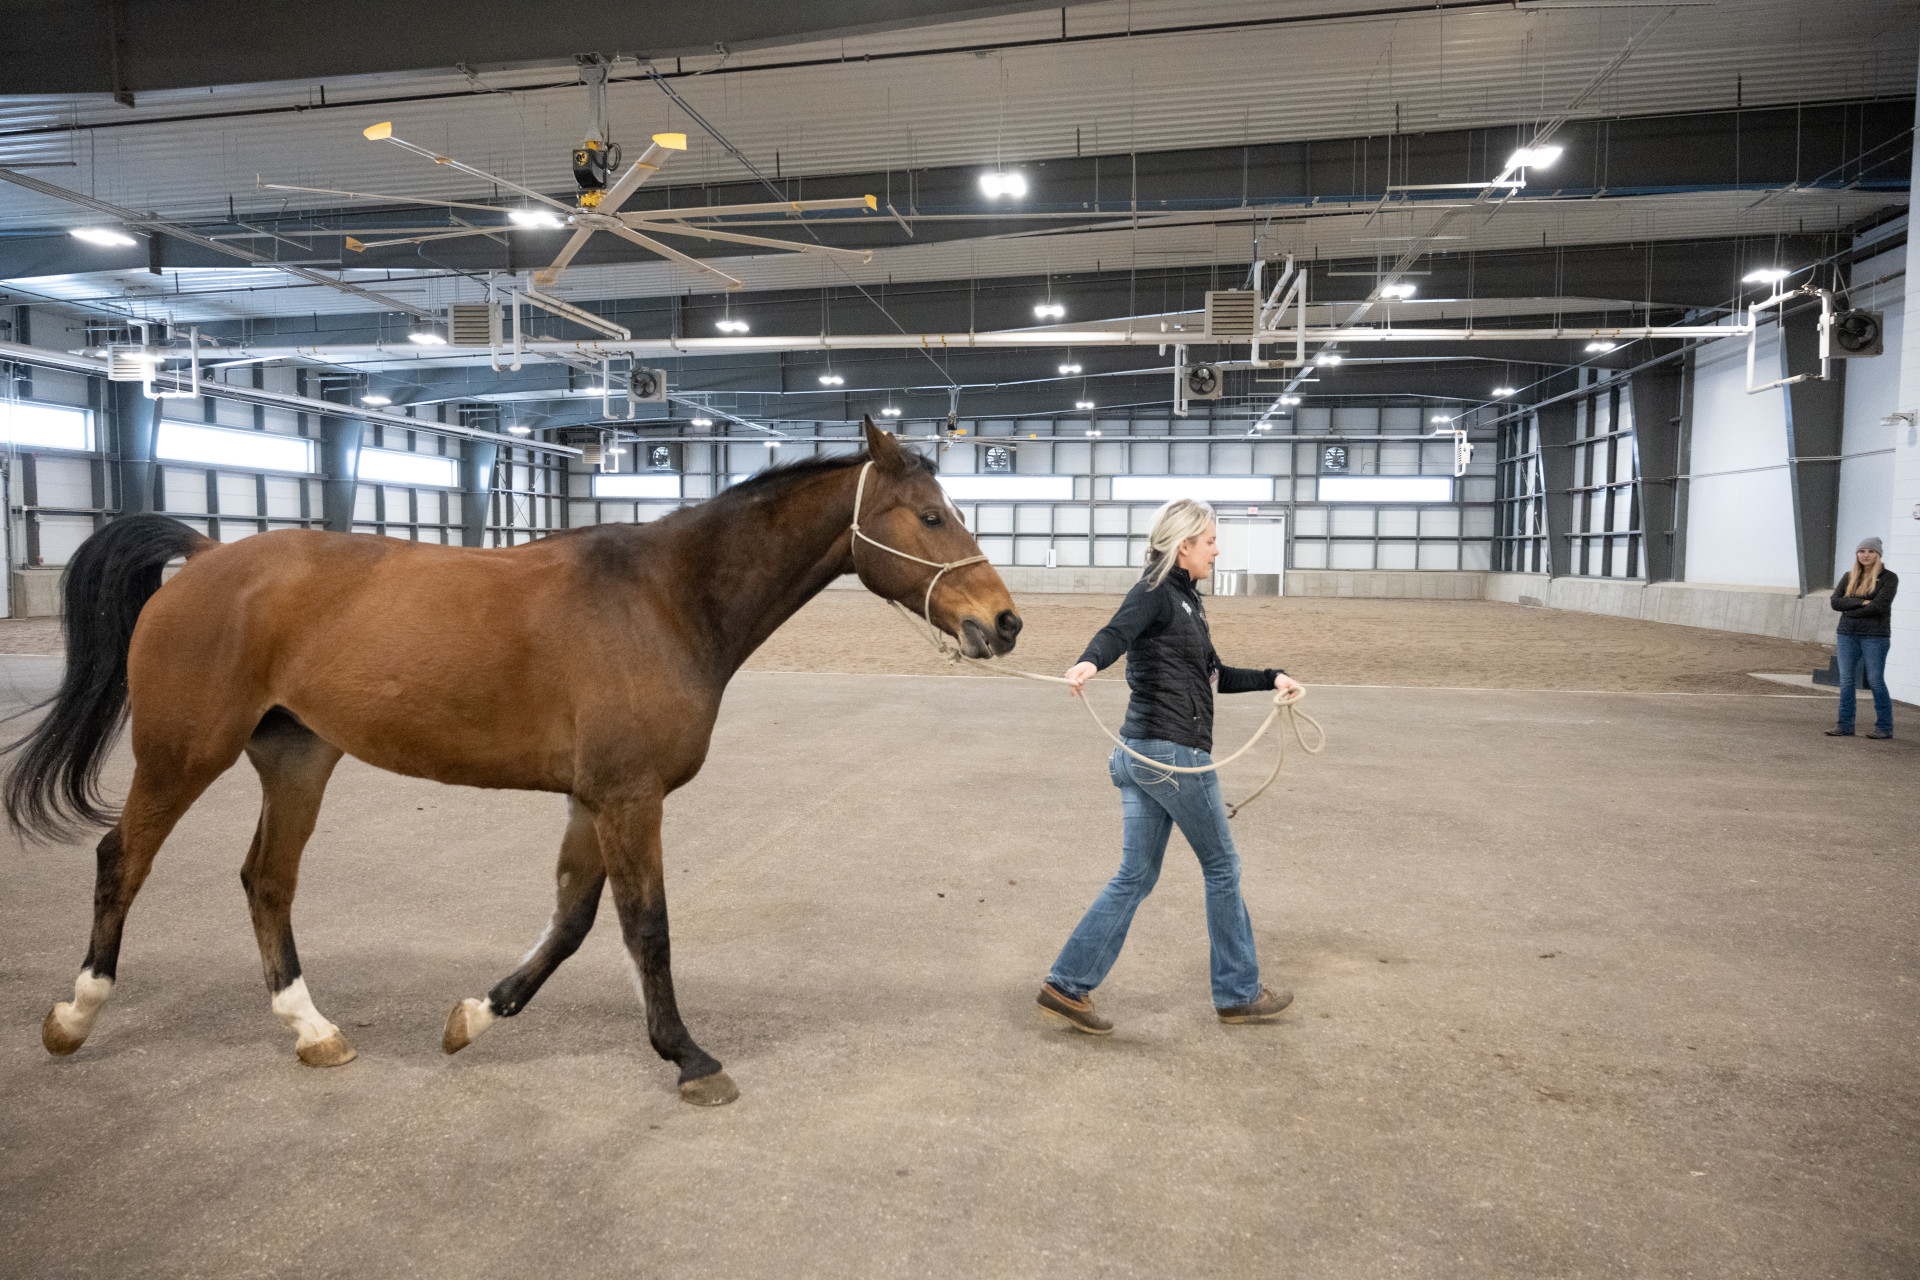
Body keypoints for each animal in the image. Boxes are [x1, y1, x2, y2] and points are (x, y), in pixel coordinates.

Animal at [7, 426, 1021, 1105]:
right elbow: (646, 929)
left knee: (267, 880)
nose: (1003, 622)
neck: (662, 599)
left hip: (297, 759)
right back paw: (75, 1015)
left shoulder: (593, 800)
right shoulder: (629, 799)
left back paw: (314, 1030)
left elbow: (572, 923)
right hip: (183, 755)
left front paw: (478, 1015)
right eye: (930, 515)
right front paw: (689, 1057)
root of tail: (211, 554)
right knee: (123, 863)